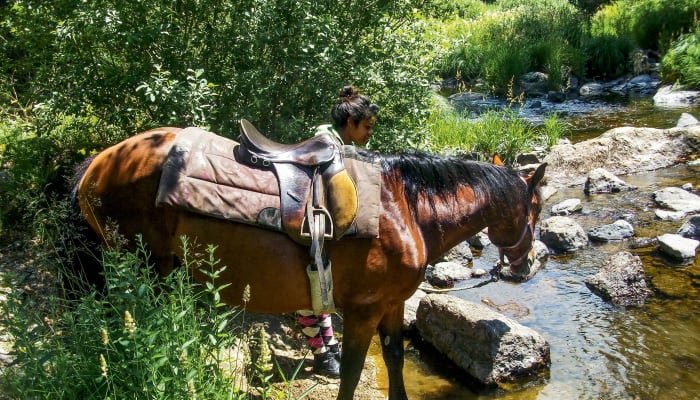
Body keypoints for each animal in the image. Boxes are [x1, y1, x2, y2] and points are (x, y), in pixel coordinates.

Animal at [71, 127, 547, 400]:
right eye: (537, 207)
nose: (526, 267)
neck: (406, 209)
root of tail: (97, 163)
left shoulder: (392, 305)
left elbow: (394, 360)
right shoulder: (364, 311)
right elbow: (352, 373)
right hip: (141, 269)